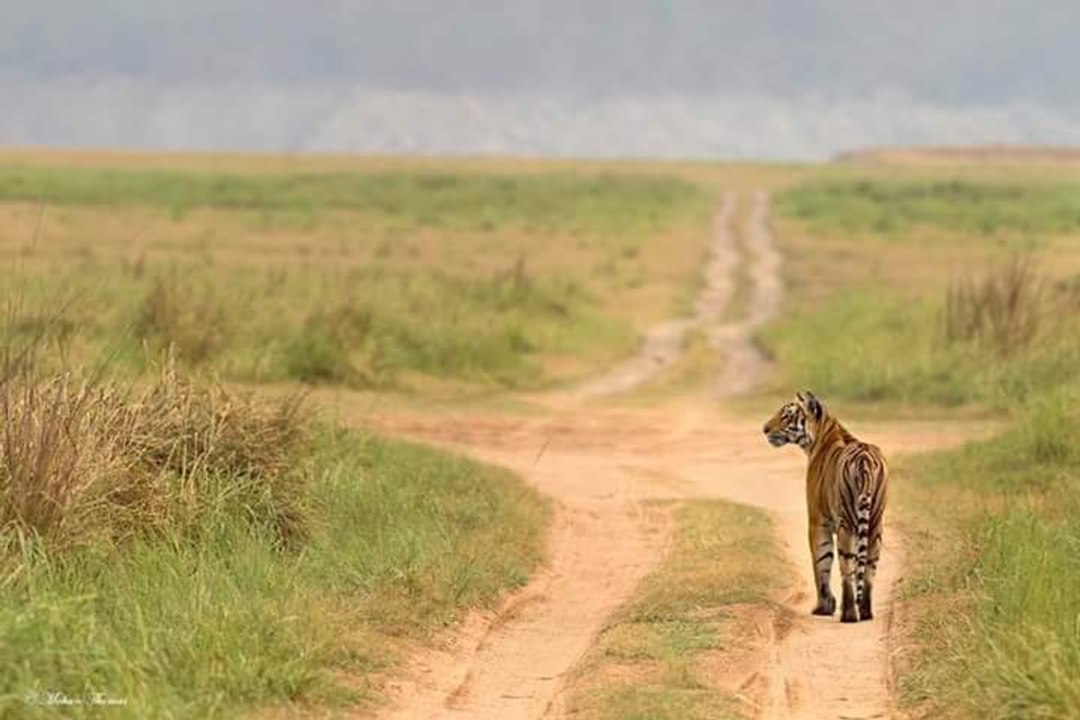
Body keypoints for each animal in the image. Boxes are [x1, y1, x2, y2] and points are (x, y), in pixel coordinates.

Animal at [762, 391, 888, 623]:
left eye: (786, 415)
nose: (764, 429)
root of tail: (865, 459)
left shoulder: (817, 521)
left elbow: (821, 564)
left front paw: (824, 607)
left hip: (847, 524)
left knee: (847, 568)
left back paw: (848, 614)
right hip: (875, 524)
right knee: (869, 570)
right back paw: (865, 612)